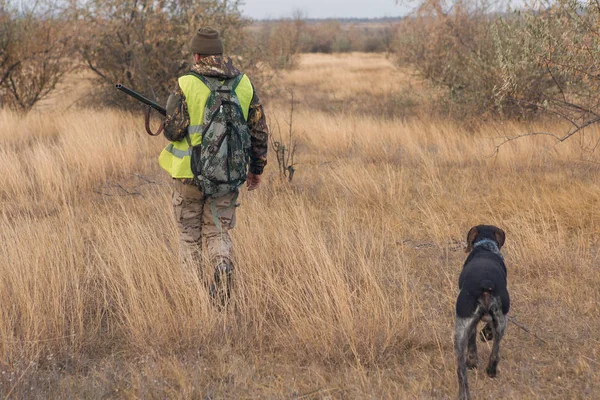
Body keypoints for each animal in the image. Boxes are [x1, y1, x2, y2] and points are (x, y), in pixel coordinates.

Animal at [454, 225, 510, 400]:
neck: (486, 246)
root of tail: (485, 281)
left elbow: (473, 341)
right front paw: (486, 335)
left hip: (460, 328)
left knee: (461, 371)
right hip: (501, 321)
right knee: (495, 352)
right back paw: (491, 370)